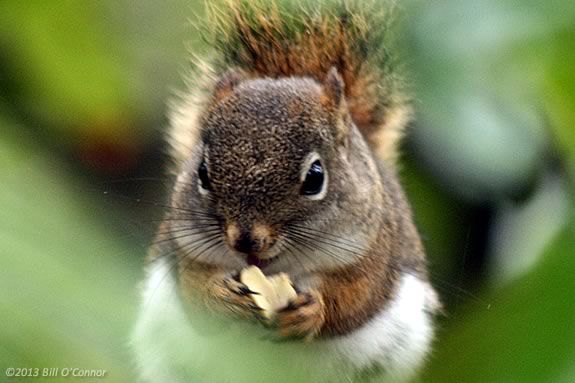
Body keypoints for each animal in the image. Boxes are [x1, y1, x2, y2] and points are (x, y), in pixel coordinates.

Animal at [133, 0, 440, 383]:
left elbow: (354, 300)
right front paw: (218, 296)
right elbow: (193, 293)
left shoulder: (376, 255)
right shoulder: (183, 249)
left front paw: (312, 312)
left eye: (315, 178)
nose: (246, 242)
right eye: (202, 172)